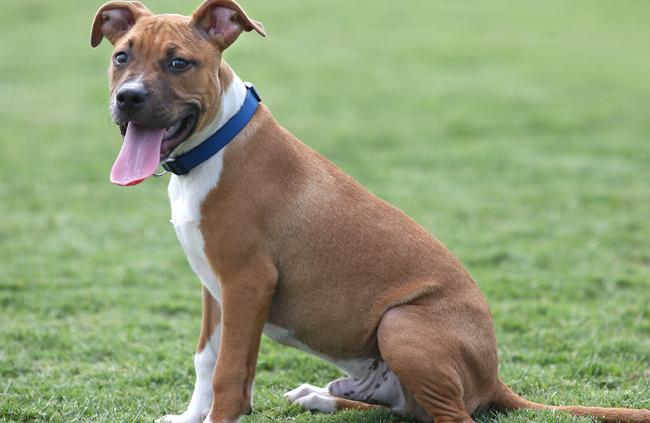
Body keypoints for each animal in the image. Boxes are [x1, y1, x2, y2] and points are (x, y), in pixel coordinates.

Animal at [91, 0, 648, 423]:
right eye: (121, 57)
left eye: (179, 63)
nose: (129, 98)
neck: (215, 146)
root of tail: (493, 380)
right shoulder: (215, 288)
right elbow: (206, 360)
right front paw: (191, 416)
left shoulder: (248, 283)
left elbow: (230, 373)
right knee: (403, 408)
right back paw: (321, 396)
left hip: (402, 323)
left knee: (452, 417)